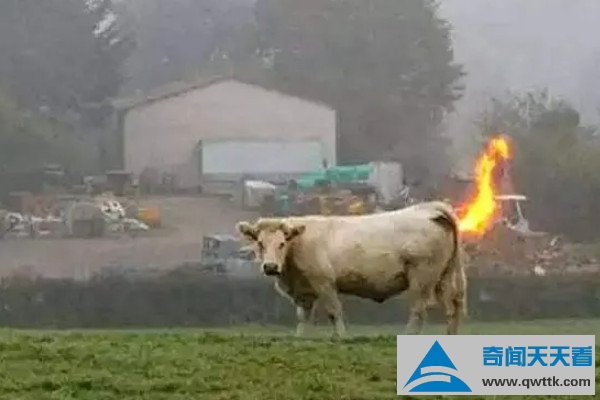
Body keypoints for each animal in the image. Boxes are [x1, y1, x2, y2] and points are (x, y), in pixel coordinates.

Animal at [236, 200, 467, 337]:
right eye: (259, 243)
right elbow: (303, 317)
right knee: (452, 308)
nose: (270, 266)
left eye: (282, 243)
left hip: (422, 278)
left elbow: (334, 311)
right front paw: (299, 338)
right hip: (444, 276)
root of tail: (429, 208)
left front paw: (341, 337)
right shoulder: (303, 292)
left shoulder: (324, 283)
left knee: (419, 310)